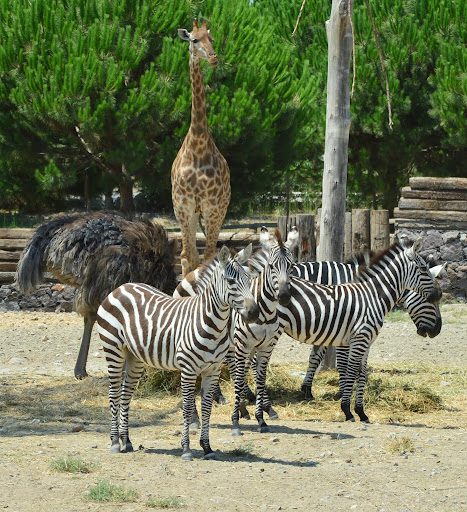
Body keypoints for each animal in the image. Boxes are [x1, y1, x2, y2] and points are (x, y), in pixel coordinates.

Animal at [96, 244, 260, 460]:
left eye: (249, 280)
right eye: (231, 281)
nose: (254, 313)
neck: (211, 323)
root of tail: (121, 287)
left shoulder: (213, 369)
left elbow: (206, 407)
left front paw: (207, 447)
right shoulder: (189, 369)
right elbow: (188, 406)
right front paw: (186, 449)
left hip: (135, 356)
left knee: (125, 394)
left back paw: (126, 440)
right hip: (113, 349)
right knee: (114, 393)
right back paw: (115, 441)